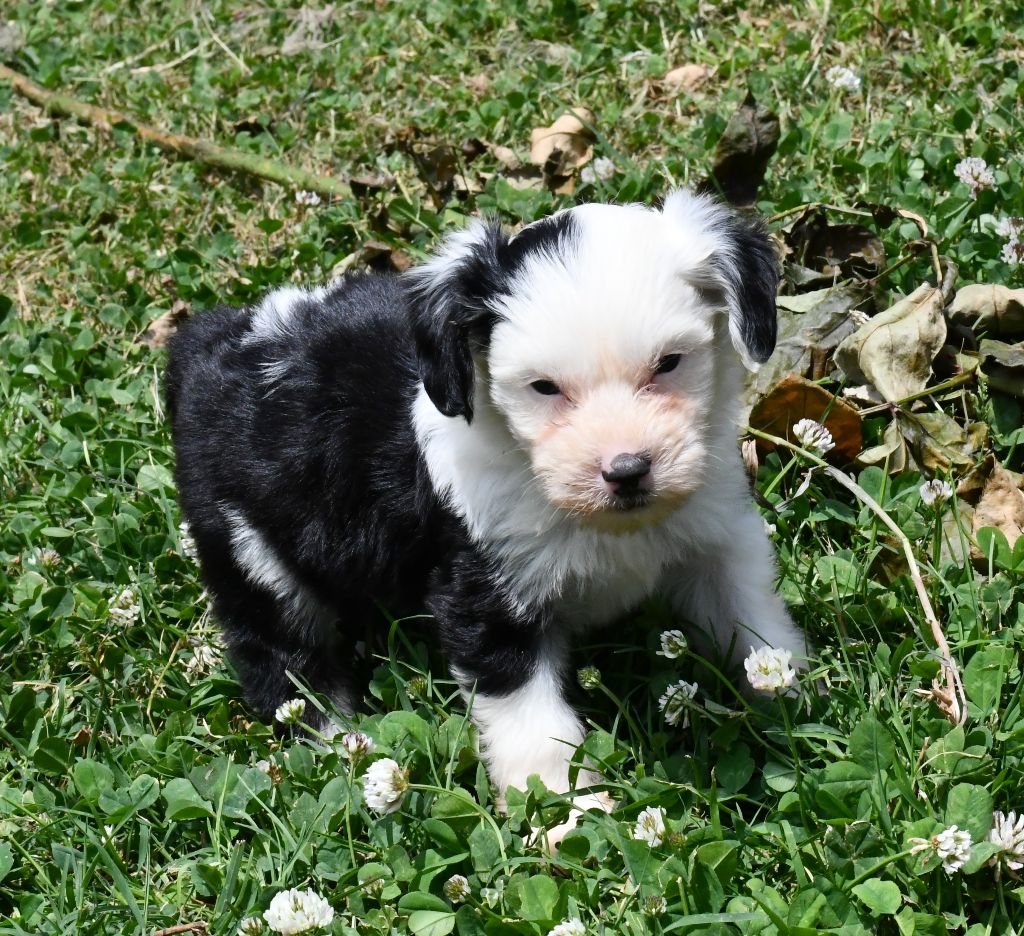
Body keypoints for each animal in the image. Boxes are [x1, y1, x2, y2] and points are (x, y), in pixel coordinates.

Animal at [165, 189, 806, 819]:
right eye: (544, 387)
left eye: (669, 363)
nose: (625, 471)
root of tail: (211, 347)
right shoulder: (486, 592)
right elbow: (535, 726)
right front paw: (567, 817)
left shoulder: (717, 535)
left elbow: (755, 625)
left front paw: (795, 700)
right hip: (249, 546)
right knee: (279, 654)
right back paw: (340, 741)